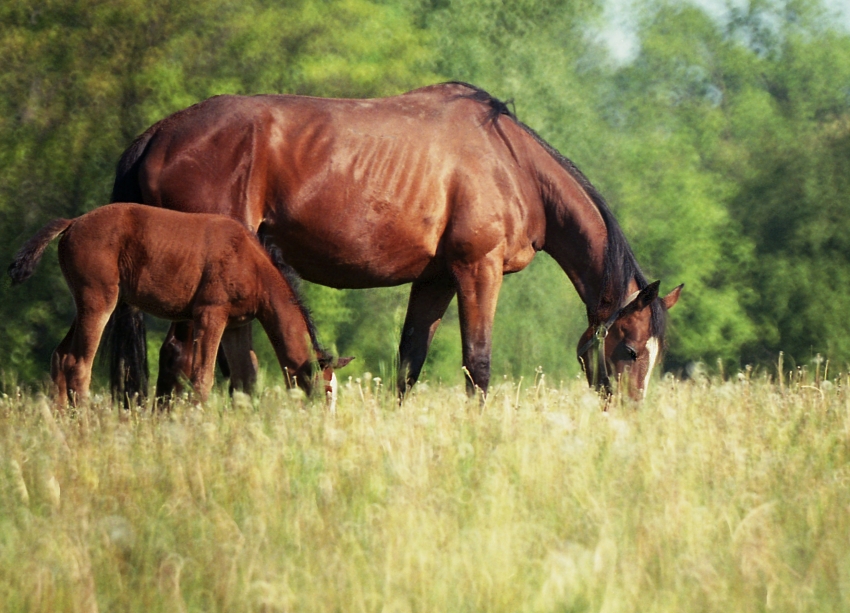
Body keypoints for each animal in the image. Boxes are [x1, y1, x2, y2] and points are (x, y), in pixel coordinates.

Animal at [8, 203, 352, 406]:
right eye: (326, 390)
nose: (324, 426)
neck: (250, 262)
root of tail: (73, 222)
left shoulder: (235, 326)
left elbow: (244, 379)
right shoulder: (210, 314)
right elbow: (202, 378)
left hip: (84, 303)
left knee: (61, 356)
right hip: (99, 301)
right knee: (79, 364)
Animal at [109, 81, 680, 402]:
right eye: (630, 349)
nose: (630, 413)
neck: (512, 163)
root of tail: (156, 136)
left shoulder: (435, 281)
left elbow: (409, 365)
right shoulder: (478, 271)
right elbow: (478, 366)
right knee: (191, 357)